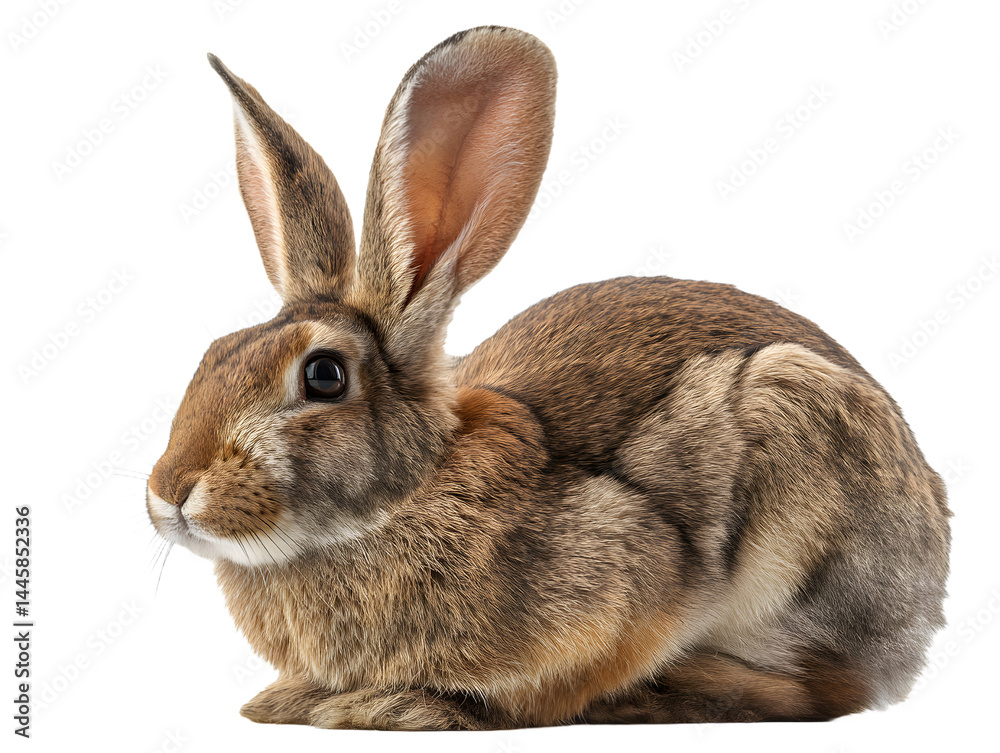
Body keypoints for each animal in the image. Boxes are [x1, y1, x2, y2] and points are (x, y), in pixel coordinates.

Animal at [146, 25, 951, 730]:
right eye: (214, 352)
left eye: (322, 375)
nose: (169, 491)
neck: (408, 494)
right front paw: (292, 699)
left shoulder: (631, 577)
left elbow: (545, 689)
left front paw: (389, 707)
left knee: (821, 688)